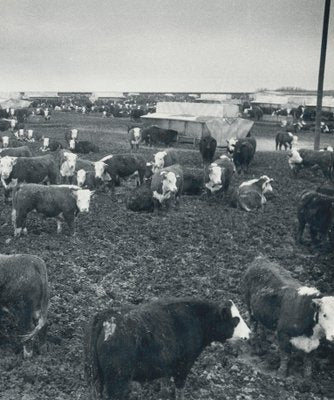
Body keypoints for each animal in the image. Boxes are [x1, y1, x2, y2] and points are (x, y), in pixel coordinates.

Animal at [85, 296, 249, 400]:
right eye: (235, 320)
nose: (249, 333)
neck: (196, 318)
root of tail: (107, 316)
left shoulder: (166, 365)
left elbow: (164, 385)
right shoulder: (183, 365)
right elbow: (179, 390)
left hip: (96, 378)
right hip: (118, 381)